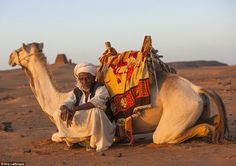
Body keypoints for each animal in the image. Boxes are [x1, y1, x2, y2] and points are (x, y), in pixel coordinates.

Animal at [8, 42, 228, 146]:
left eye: (20, 49)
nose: (9, 57)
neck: (57, 100)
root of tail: (196, 89)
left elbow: (57, 135)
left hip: (177, 114)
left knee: (164, 136)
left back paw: (212, 133)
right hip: (197, 107)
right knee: (211, 120)